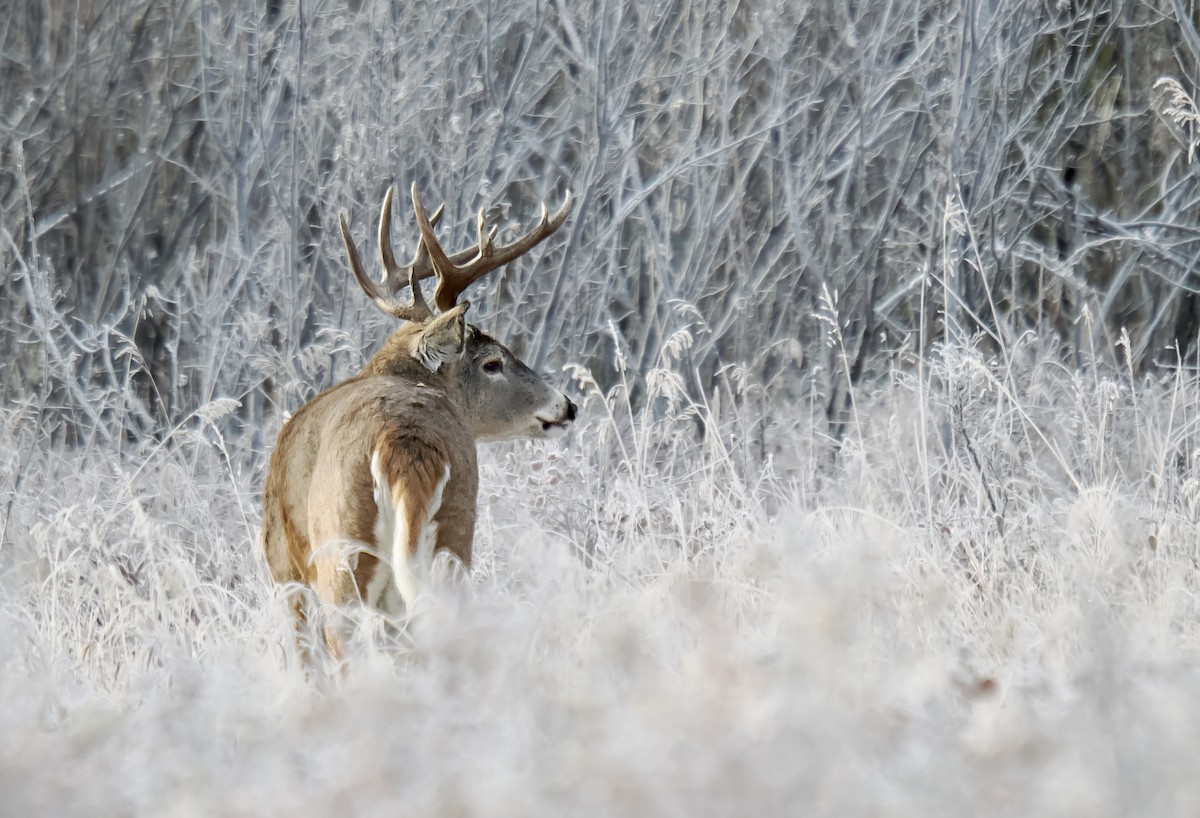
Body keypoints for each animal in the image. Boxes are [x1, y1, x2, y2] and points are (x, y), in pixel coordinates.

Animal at [261, 182, 575, 656]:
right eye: (493, 363)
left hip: (341, 554)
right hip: (455, 531)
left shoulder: (287, 574)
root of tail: (402, 442)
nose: (566, 405)